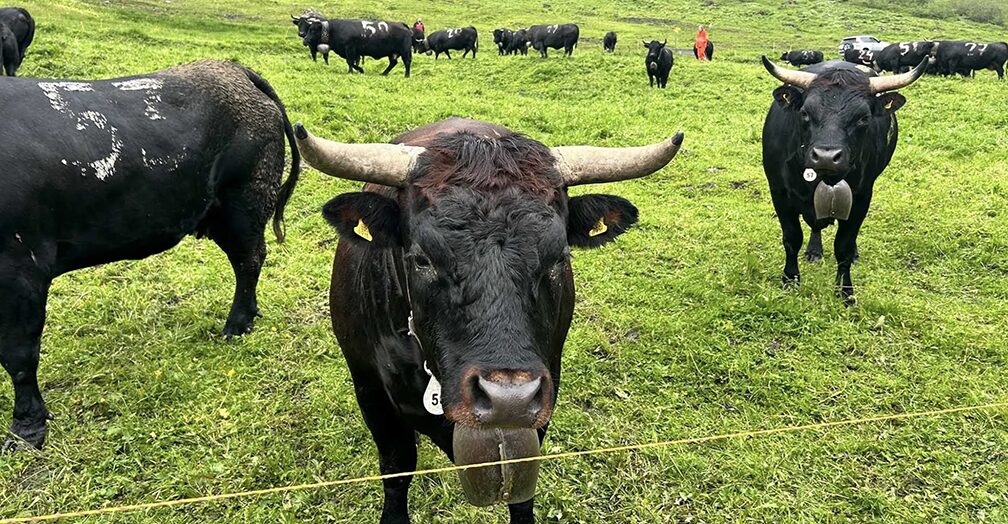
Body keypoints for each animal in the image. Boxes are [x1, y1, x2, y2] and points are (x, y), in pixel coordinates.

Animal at [0, 60, 301, 451]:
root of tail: (232, 69)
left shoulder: (21, 267)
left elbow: (19, 355)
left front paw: (26, 429)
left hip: (244, 204)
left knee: (249, 262)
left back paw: (238, 324)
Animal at [760, 57, 927, 303]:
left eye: (864, 118)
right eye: (805, 113)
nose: (826, 156)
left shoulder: (860, 198)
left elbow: (844, 246)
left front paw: (845, 292)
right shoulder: (779, 194)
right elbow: (792, 238)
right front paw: (790, 280)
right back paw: (814, 251)